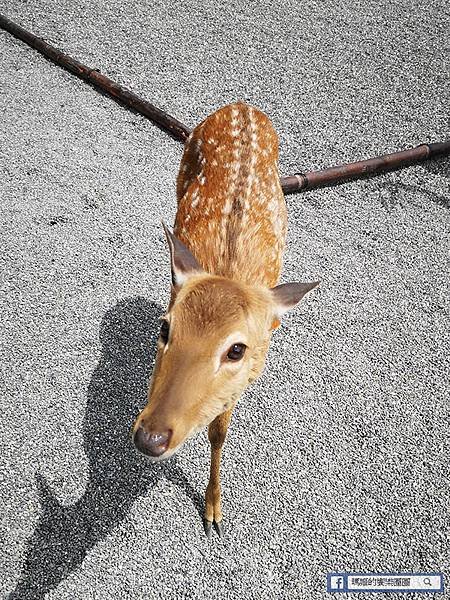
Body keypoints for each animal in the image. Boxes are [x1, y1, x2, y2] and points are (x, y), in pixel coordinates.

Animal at [132, 101, 318, 536]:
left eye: (236, 350)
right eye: (165, 327)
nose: (150, 437)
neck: (230, 271)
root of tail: (241, 106)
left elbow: (219, 431)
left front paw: (214, 512)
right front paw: (212, 509)